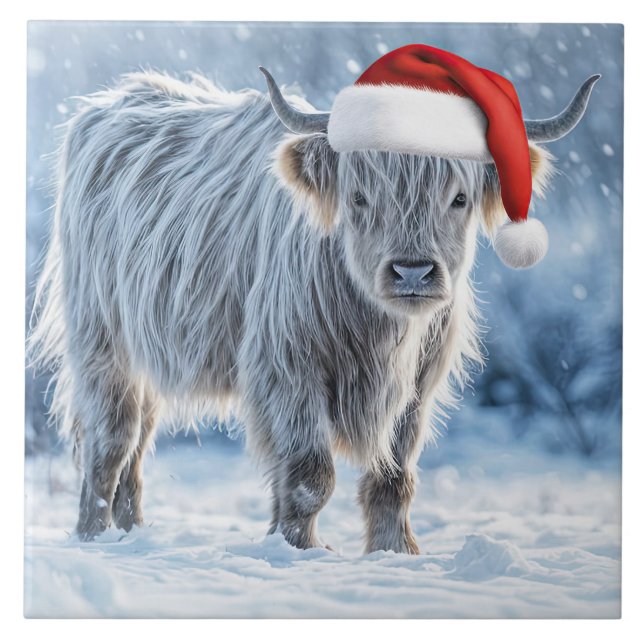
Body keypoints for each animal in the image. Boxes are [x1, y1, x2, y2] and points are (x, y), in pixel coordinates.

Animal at [29, 57, 598, 553]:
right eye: (360, 196)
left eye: (458, 198)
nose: (412, 272)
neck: (378, 330)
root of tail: (115, 100)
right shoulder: (288, 365)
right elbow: (308, 474)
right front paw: (299, 550)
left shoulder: (417, 382)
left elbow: (393, 477)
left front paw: (395, 552)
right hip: (102, 339)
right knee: (111, 440)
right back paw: (95, 538)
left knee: (138, 445)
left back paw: (131, 533)